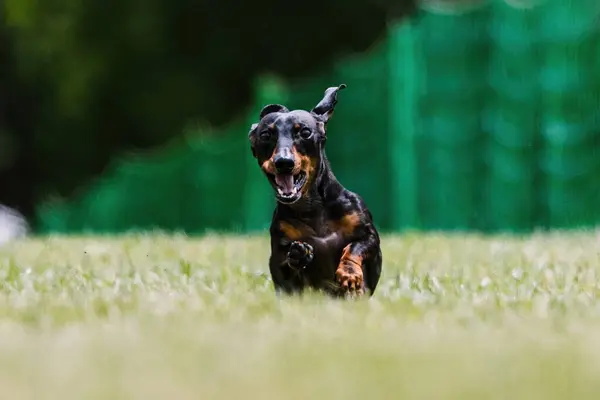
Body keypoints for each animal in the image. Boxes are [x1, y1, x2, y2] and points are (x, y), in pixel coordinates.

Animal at [250, 84, 384, 296]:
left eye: (305, 132)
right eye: (265, 135)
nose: (284, 162)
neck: (311, 208)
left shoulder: (369, 235)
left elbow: (355, 246)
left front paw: (349, 273)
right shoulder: (279, 256)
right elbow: (286, 265)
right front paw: (299, 255)